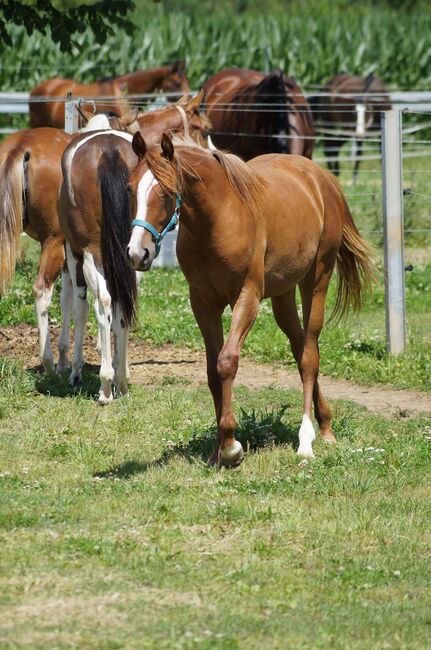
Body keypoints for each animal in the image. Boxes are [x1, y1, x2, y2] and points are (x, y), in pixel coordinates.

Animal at [0, 110, 138, 370]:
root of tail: (22, 146)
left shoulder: (69, 259)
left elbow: (68, 299)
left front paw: (66, 356)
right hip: (54, 243)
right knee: (42, 289)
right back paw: (47, 360)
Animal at [57, 91, 211, 400]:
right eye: (203, 130)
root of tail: (108, 152)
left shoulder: (75, 253)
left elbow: (81, 305)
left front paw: (78, 369)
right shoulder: (133, 252)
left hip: (94, 252)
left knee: (103, 301)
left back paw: (106, 384)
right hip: (135, 254)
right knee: (123, 303)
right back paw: (122, 379)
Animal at [125, 133, 374, 466]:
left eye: (165, 193)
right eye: (130, 188)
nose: (137, 253)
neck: (217, 220)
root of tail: (321, 178)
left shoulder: (247, 297)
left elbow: (227, 362)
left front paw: (232, 447)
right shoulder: (202, 303)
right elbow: (212, 372)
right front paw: (219, 450)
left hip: (317, 280)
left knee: (310, 356)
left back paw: (307, 440)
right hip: (283, 295)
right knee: (299, 349)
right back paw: (325, 423)